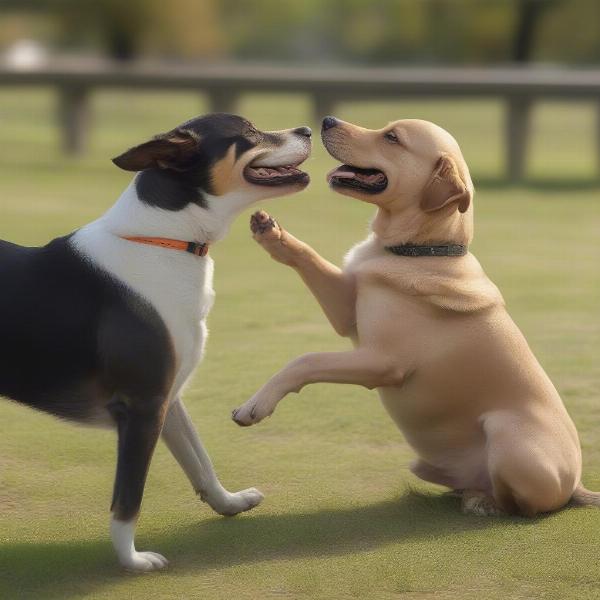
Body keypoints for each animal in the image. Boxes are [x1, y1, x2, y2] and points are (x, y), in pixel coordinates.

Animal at [2, 113, 314, 572]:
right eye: (248, 132)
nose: (309, 130)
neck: (162, 241)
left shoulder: (169, 399)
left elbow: (200, 461)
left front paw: (228, 503)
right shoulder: (142, 406)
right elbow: (128, 498)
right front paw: (131, 560)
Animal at [232, 116, 596, 516]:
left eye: (392, 137)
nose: (326, 121)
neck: (419, 251)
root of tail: (578, 484)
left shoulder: (380, 361)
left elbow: (305, 360)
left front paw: (255, 405)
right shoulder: (347, 313)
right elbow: (309, 258)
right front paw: (271, 233)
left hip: (506, 433)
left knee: (521, 506)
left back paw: (482, 501)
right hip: (424, 462)